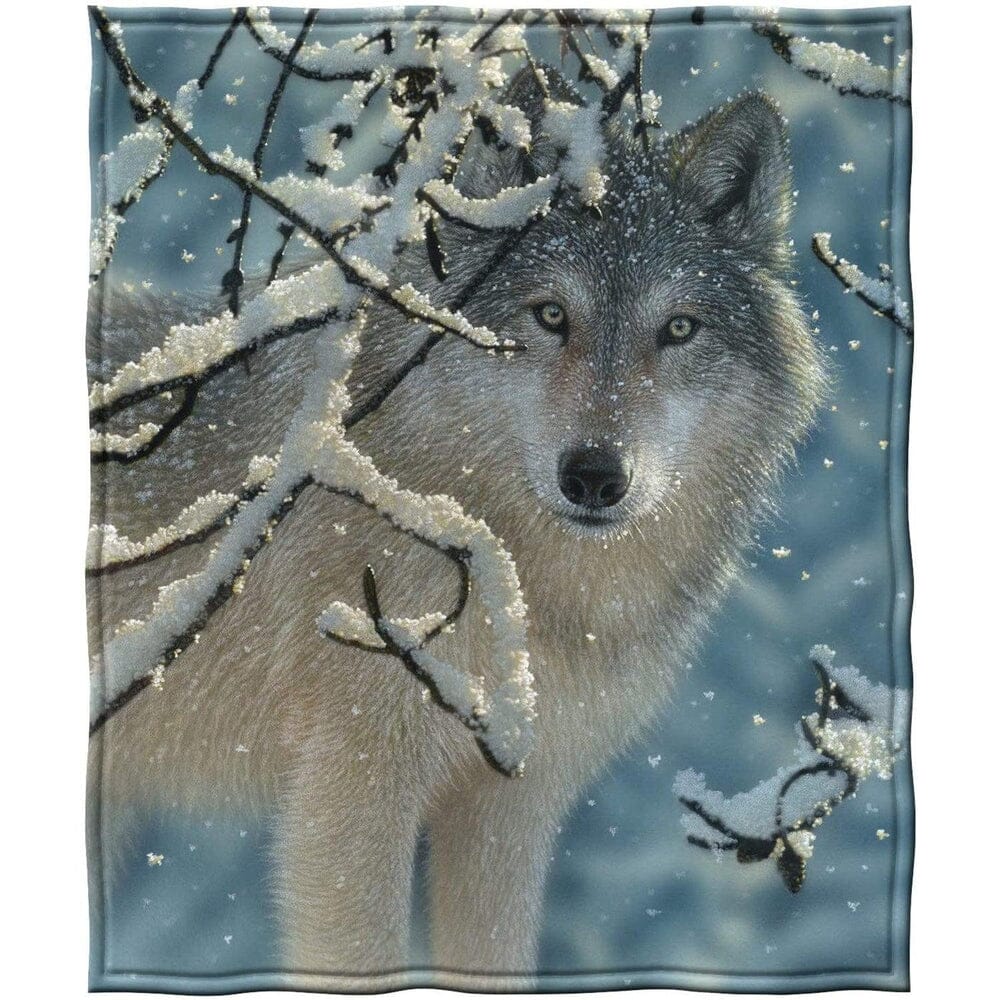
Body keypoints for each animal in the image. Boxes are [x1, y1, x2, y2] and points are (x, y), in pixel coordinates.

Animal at [88, 67, 825, 989]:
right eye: (551, 316)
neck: (525, 587)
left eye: (680, 329)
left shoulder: (512, 806)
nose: (595, 475)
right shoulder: (352, 790)